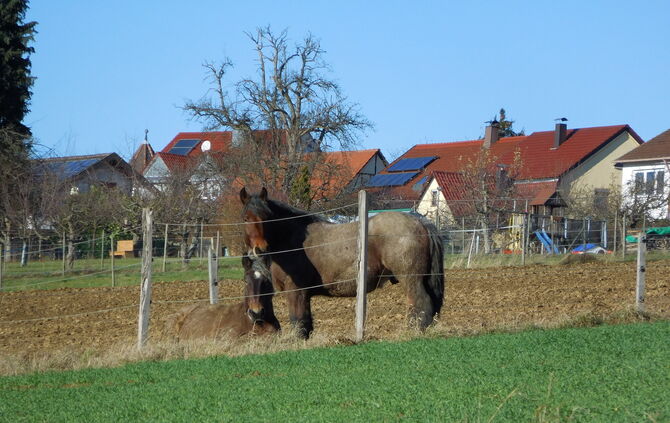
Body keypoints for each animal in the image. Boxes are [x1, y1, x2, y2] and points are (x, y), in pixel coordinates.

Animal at [239, 187, 444, 338]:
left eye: (266, 217)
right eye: (246, 218)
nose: (260, 249)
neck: (291, 239)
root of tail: (420, 223)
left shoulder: (296, 292)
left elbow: (298, 322)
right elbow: (306, 323)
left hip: (411, 279)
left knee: (421, 305)